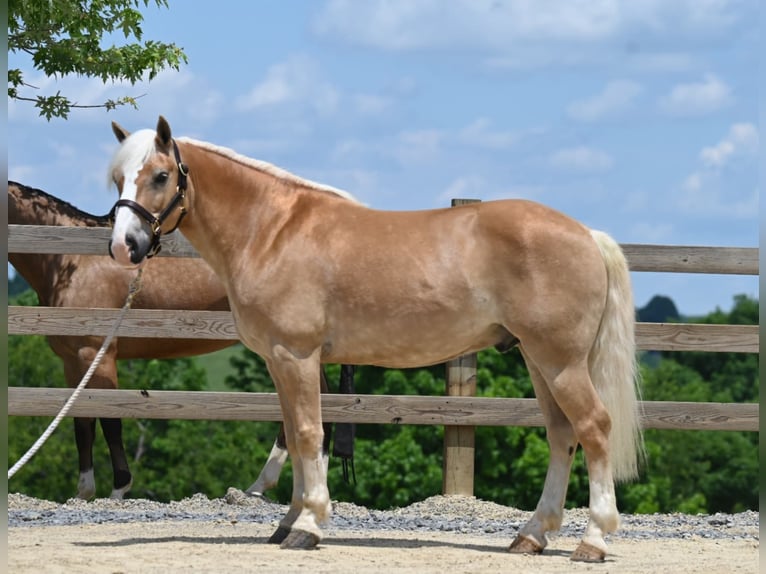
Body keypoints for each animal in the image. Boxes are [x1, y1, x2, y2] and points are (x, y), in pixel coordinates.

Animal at [9, 182, 354, 502]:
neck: (72, 261)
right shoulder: (72, 361)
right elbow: (81, 420)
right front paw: (83, 492)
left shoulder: (98, 355)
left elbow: (110, 419)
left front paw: (119, 488)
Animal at [105, 116, 644, 564]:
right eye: (117, 178)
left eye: (160, 176)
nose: (124, 247)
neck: (272, 231)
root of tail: (586, 234)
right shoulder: (281, 362)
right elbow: (295, 438)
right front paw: (288, 522)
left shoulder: (297, 356)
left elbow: (308, 435)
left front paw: (308, 526)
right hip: (537, 359)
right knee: (562, 435)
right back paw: (531, 536)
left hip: (561, 362)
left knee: (594, 428)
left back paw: (593, 541)